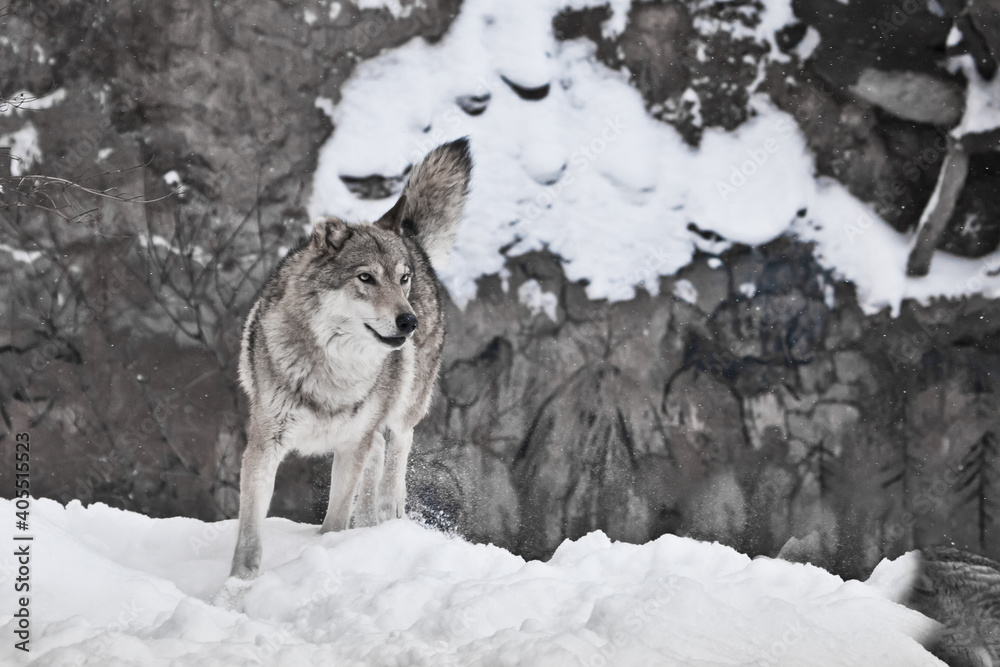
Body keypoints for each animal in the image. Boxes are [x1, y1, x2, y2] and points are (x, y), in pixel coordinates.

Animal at [229, 138, 472, 579]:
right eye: (366, 278)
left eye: (402, 279)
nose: (409, 320)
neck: (334, 371)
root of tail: (405, 230)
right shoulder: (264, 443)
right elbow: (250, 535)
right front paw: (238, 586)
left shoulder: (349, 445)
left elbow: (335, 519)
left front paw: (328, 552)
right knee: (378, 451)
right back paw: (369, 523)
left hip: (406, 401)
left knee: (398, 445)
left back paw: (388, 511)